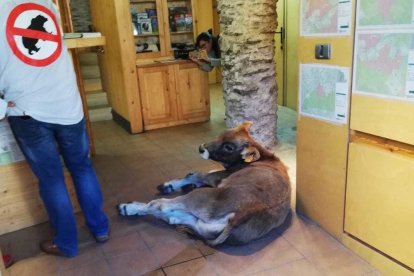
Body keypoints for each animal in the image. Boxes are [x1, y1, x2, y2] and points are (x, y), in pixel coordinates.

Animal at [117, 122, 292, 246]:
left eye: (229, 147)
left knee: (159, 205)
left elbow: (197, 175)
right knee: (172, 216)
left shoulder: (217, 178)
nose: (201, 148)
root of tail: (242, 213)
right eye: (221, 134)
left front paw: (169, 185)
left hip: (199, 196)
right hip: (199, 224)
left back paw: (127, 207)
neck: (264, 158)